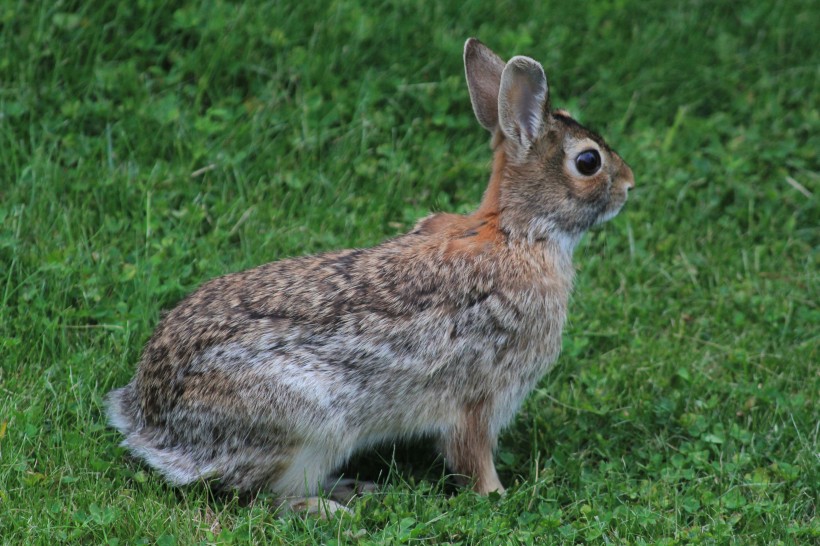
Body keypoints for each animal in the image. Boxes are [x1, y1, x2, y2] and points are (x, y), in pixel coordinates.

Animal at [105, 37, 636, 510]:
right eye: (588, 161)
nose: (630, 184)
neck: (516, 233)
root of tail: (150, 424)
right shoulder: (477, 402)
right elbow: (472, 459)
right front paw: (499, 496)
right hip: (310, 423)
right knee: (265, 498)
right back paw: (331, 506)